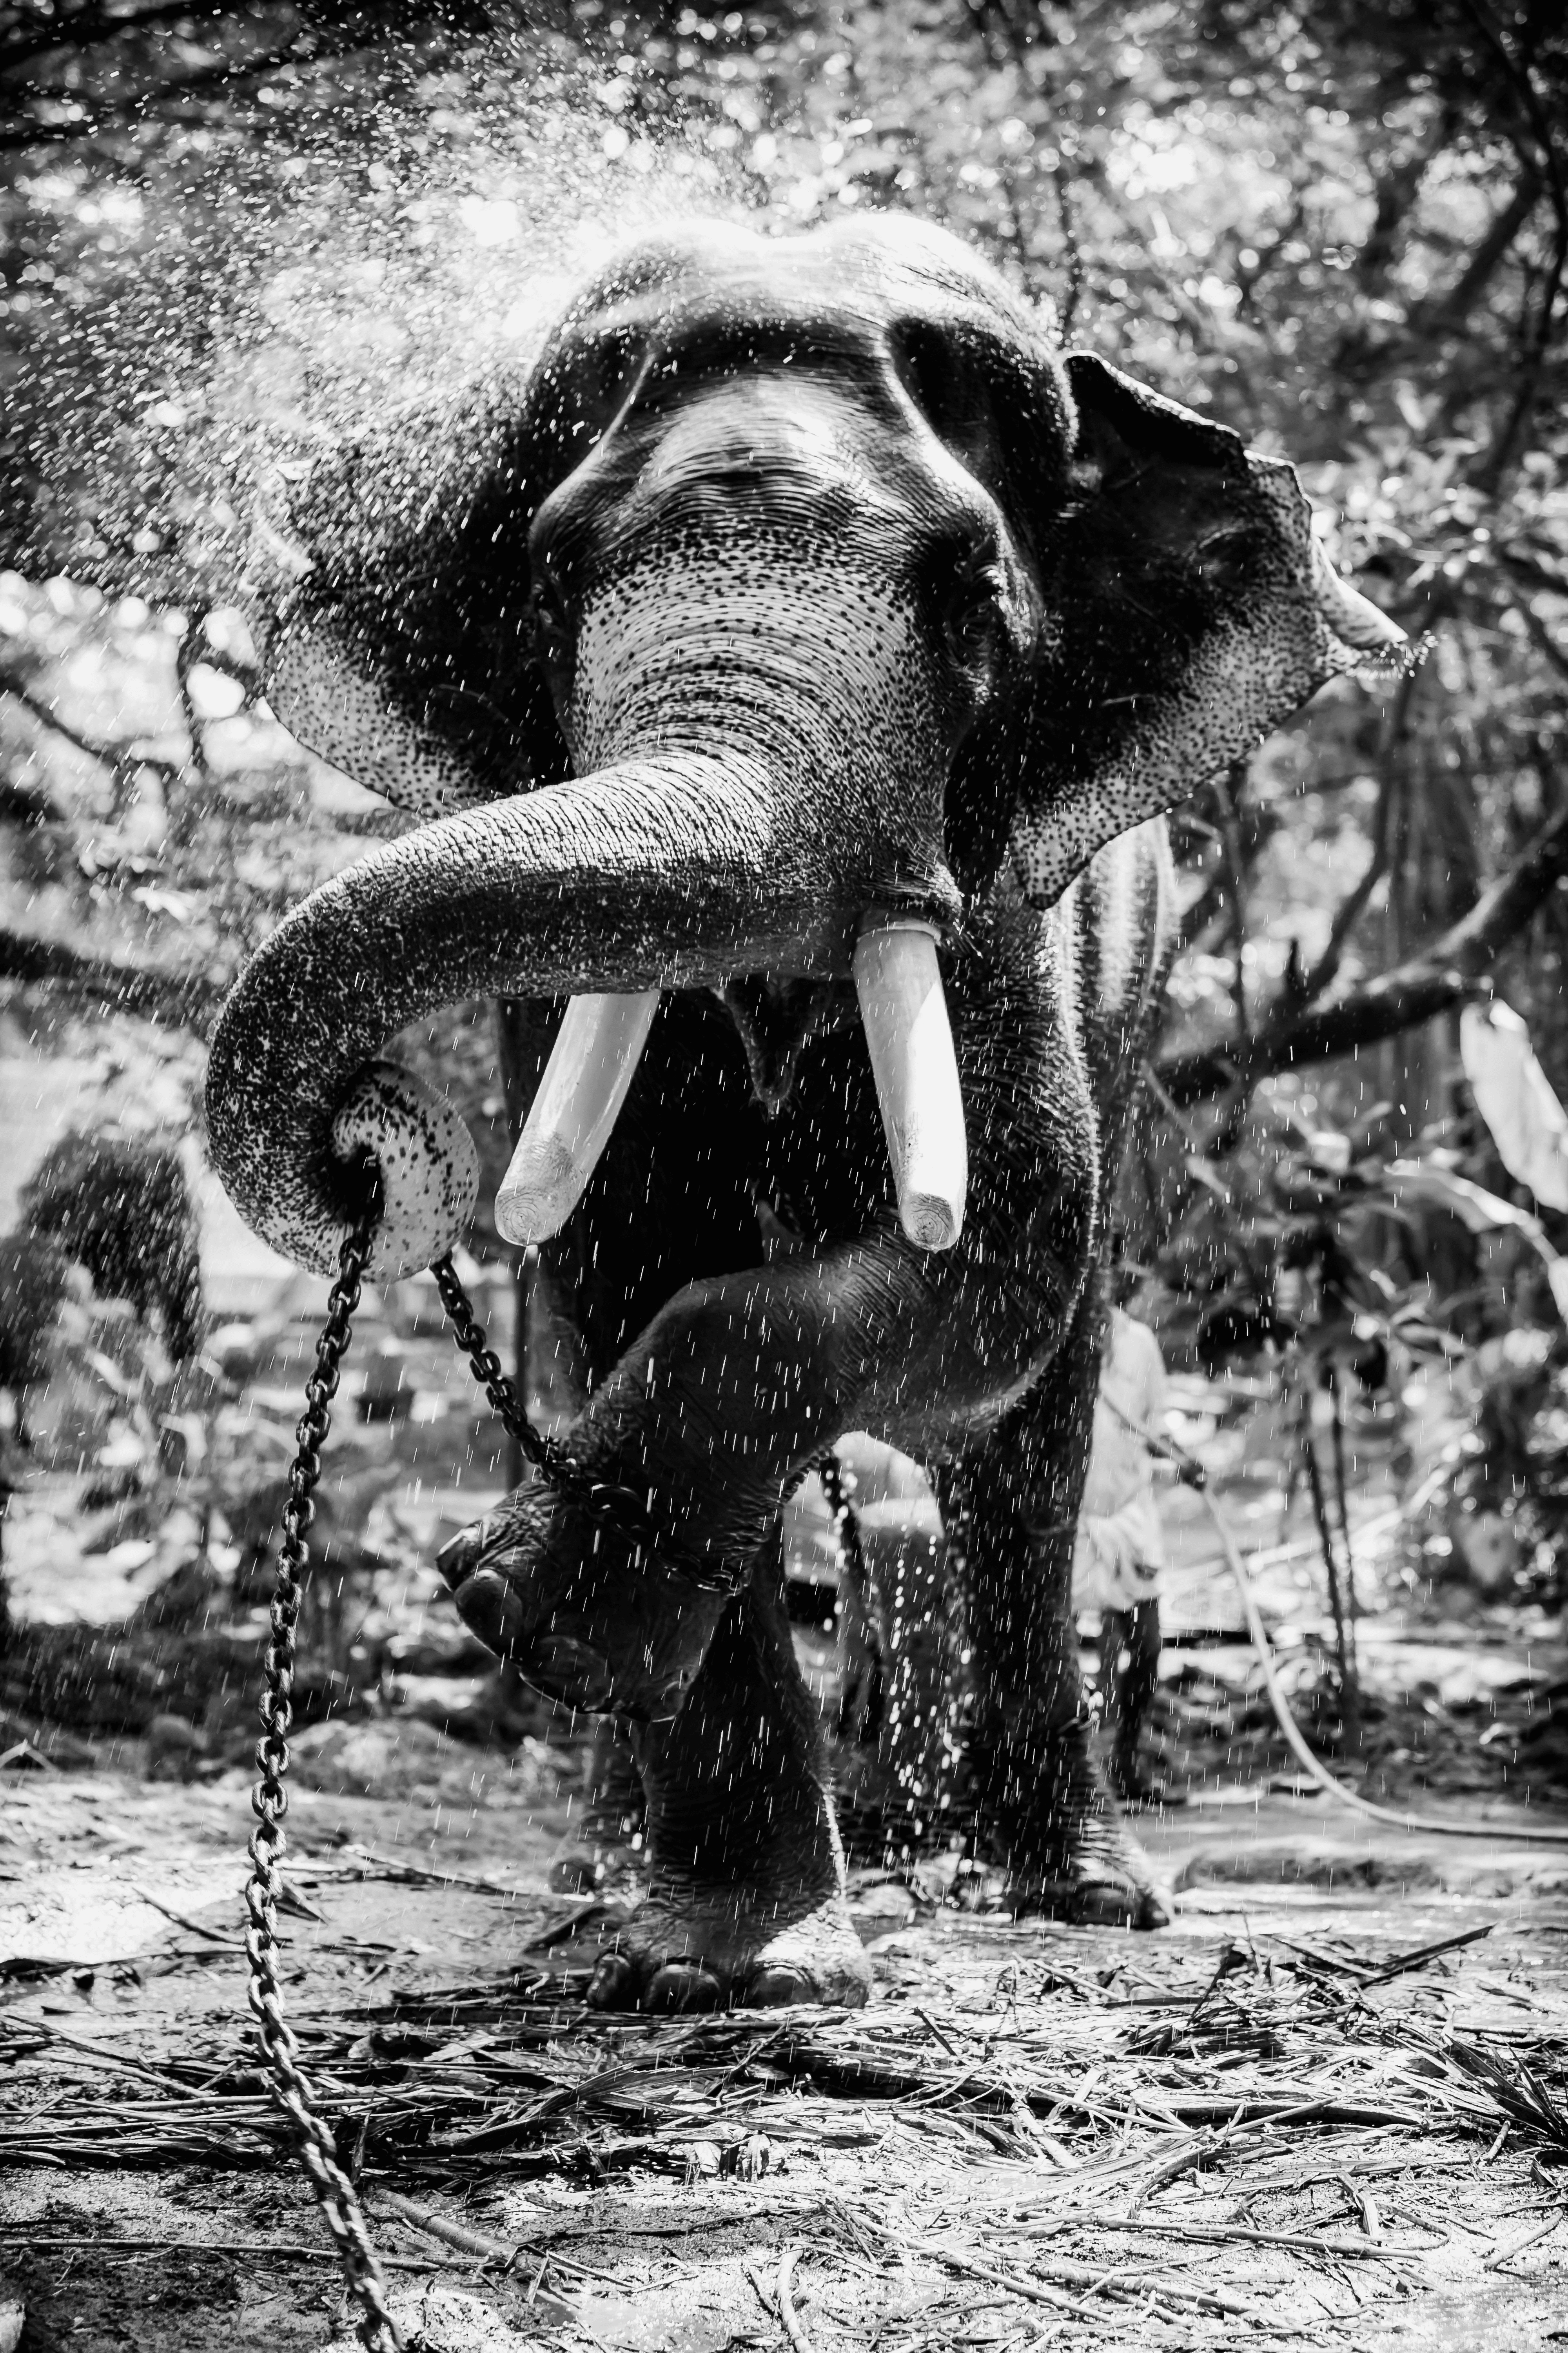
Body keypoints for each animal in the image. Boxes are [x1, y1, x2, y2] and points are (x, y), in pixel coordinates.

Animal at [205, 213, 1404, 2011]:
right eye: (553, 577)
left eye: (971, 594)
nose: (362, 1147)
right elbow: (624, 1251)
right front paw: (726, 1960)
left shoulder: (1008, 909)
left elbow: (1000, 1262)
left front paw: (542, 1609)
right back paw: (602, 1857)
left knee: (1043, 1420)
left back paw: (1074, 1888)